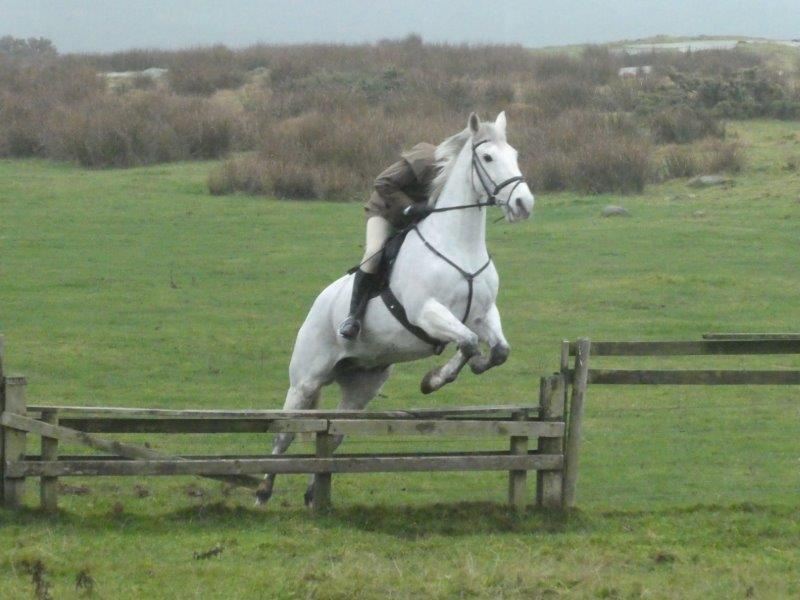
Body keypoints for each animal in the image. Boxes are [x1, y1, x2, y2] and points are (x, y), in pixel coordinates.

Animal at [256, 112, 535, 506]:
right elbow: (466, 342)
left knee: (334, 432)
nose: (524, 204)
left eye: (514, 154)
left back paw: (313, 494)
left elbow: (497, 350)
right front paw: (433, 380)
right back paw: (263, 489)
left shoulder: (483, 314)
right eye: (488, 157)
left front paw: (474, 365)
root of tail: (319, 303)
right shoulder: (427, 313)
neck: (458, 244)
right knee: (286, 430)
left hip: (362, 385)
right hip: (306, 380)